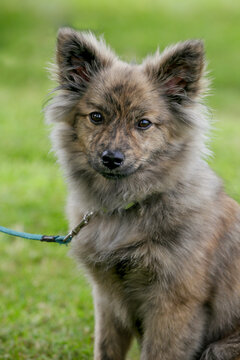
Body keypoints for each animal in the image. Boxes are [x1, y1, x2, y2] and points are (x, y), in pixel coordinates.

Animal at [46, 26, 240, 358]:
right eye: (96, 117)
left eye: (144, 123)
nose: (112, 158)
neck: (127, 208)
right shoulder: (108, 300)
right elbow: (106, 349)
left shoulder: (173, 306)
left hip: (221, 348)